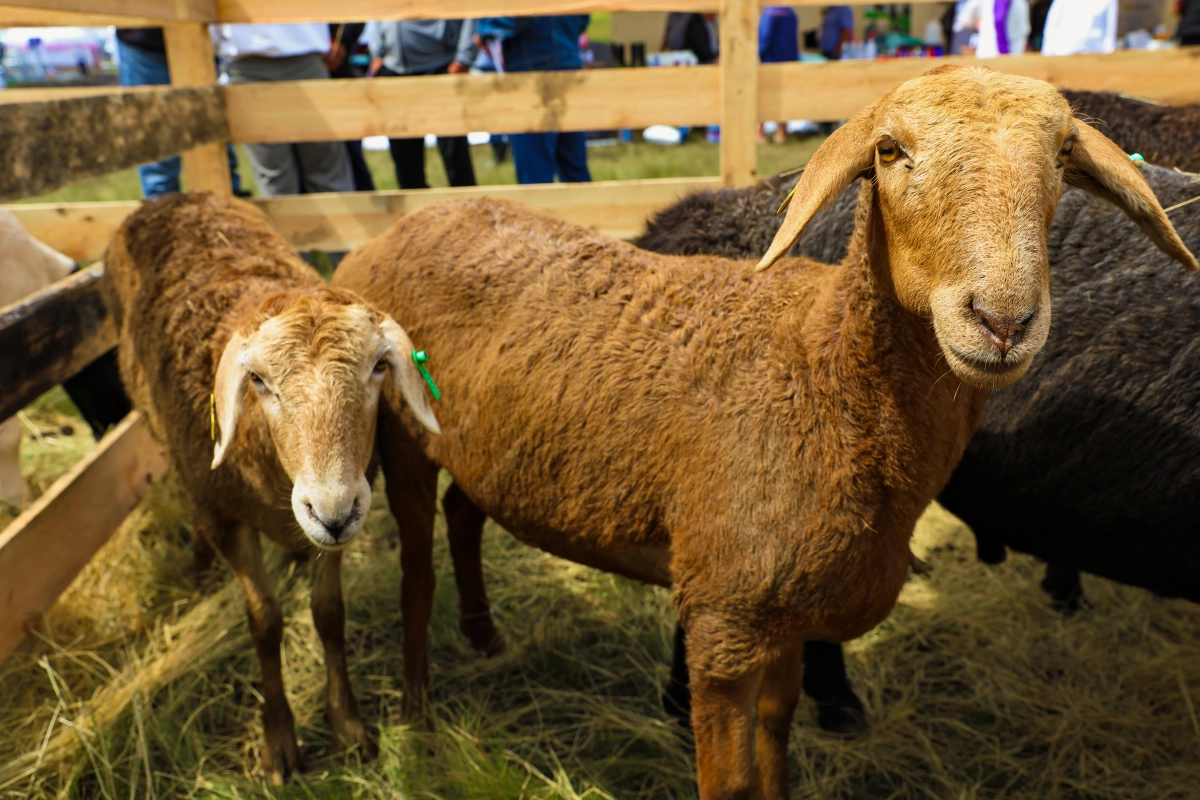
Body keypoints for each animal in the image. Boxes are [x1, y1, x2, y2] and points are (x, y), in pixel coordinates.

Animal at [102, 191, 441, 782]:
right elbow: (264, 622)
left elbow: (329, 613)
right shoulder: (229, 520)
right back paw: (200, 565)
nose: (333, 511)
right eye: (258, 380)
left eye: (380, 366)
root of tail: (174, 197)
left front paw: (348, 725)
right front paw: (279, 742)